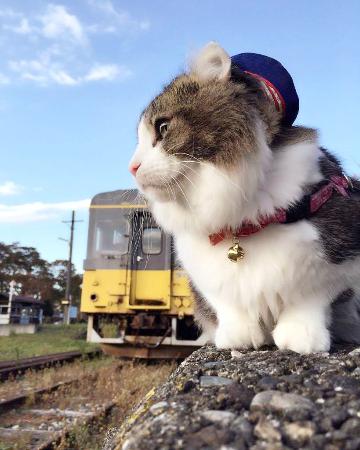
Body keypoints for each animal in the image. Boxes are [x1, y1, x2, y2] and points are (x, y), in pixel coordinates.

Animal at [129, 42, 360, 354]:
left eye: (163, 128)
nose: (132, 167)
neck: (243, 219)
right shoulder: (211, 284)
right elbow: (231, 310)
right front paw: (237, 339)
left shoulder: (334, 263)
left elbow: (309, 303)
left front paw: (301, 340)